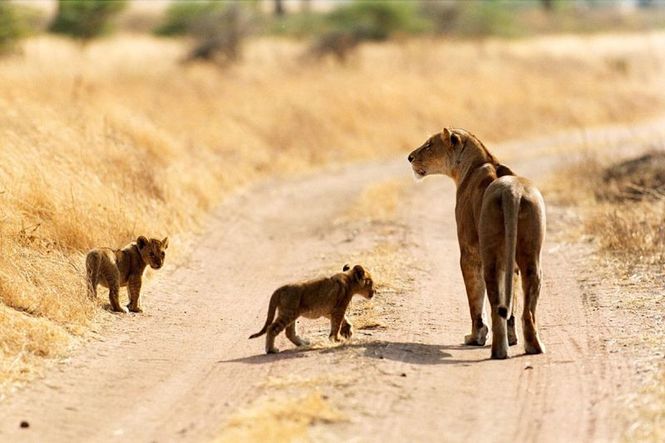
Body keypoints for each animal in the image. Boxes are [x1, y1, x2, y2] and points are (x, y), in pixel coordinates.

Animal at [408, 128, 548, 360]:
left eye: (429, 145)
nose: (409, 157)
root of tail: (512, 192)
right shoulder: (511, 264)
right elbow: (512, 299)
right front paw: (512, 338)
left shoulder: (469, 252)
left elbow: (475, 300)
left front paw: (475, 337)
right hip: (531, 256)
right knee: (527, 306)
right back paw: (534, 347)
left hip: (490, 255)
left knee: (495, 305)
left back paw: (499, 351)